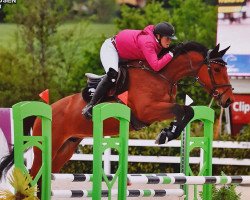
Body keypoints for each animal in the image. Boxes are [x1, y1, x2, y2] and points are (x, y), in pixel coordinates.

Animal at [0, 40, 234, 181]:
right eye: (216, 69)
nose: (228, 99)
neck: (161, 74)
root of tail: (46, 110)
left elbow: (186, 112)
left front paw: (168, 133)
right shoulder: (148, 110)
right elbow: (184, 109)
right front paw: (166, 134)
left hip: (66, 148)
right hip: (47, 146)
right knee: (33, 174)